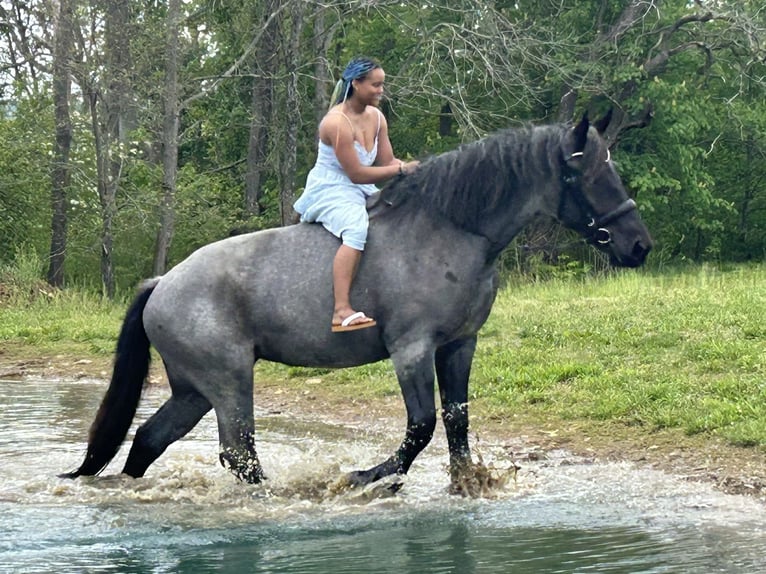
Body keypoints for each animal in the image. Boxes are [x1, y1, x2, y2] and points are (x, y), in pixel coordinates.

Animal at [61, 112, 652, 494]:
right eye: (589, 174)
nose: (639, 245)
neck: (450, 230)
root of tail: (163, 282)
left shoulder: (459, 345)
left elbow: (456, 422)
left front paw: (467, 483)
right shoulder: (411, 349)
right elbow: (421, 427)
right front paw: (365, 477)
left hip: (193, 391)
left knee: (148, 440)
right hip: (227, 383)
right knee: (238, 454)